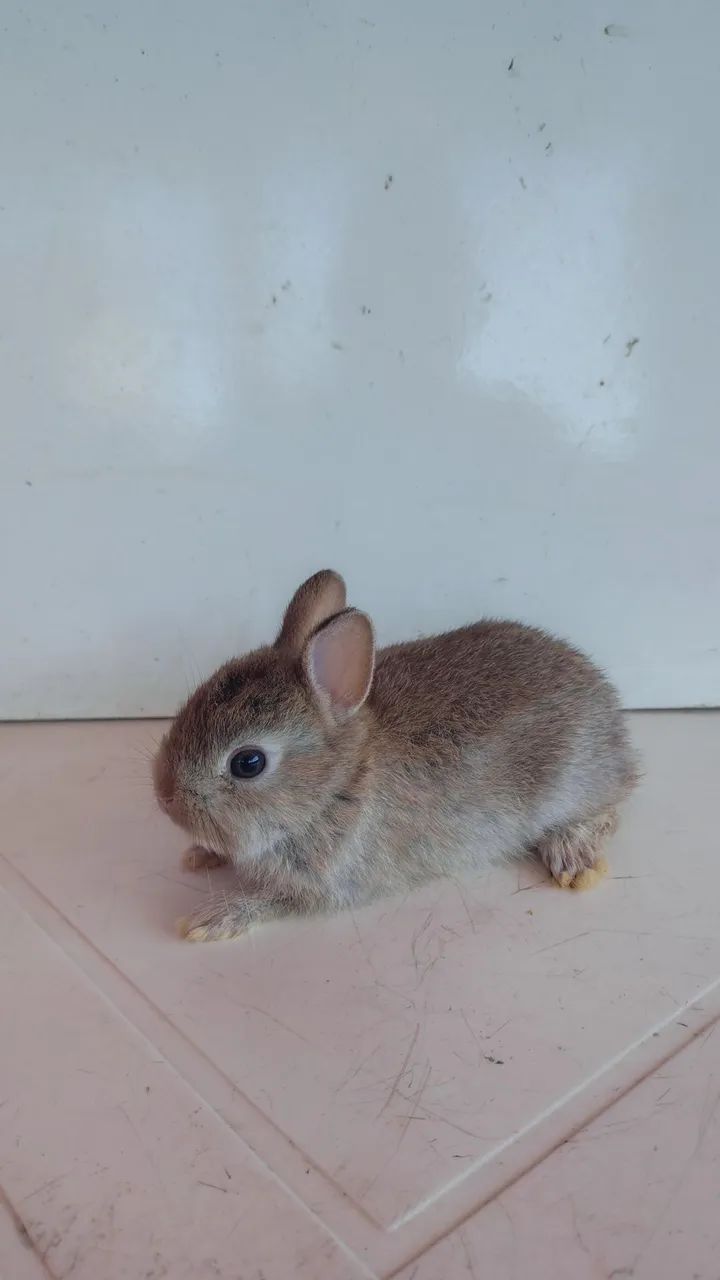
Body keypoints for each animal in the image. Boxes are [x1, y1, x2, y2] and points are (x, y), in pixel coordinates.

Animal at [153, 570, 638, 941]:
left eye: (247, 763)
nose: (164, 796)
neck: (338, 783)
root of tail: (608, 704)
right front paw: (200, 854)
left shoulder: (321, 885)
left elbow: (269, 901)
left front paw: (210, 919)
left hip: (573, 782)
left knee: (609, 810)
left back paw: (573, 858)